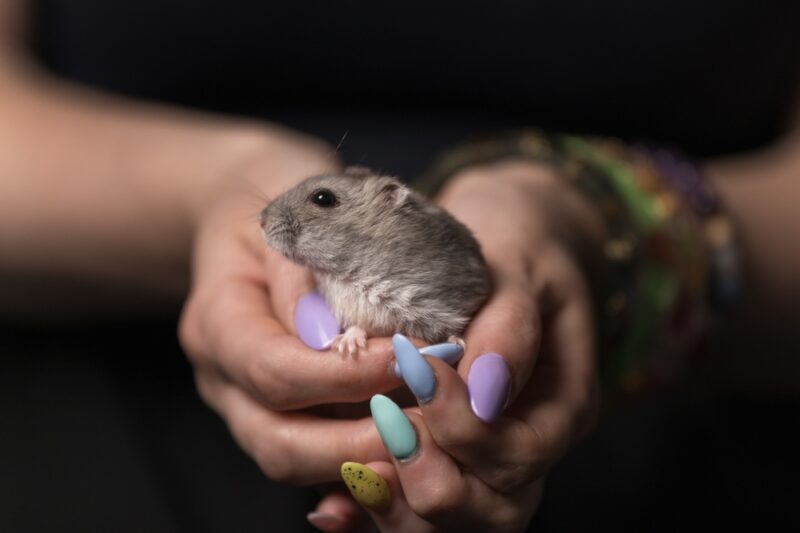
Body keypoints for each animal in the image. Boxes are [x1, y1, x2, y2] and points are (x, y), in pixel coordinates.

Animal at [259, 166, 491, 355]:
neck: (348, 277)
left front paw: (457, 344)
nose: (262, 220)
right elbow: (358, 326)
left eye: (322, 198)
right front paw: (346, 346)